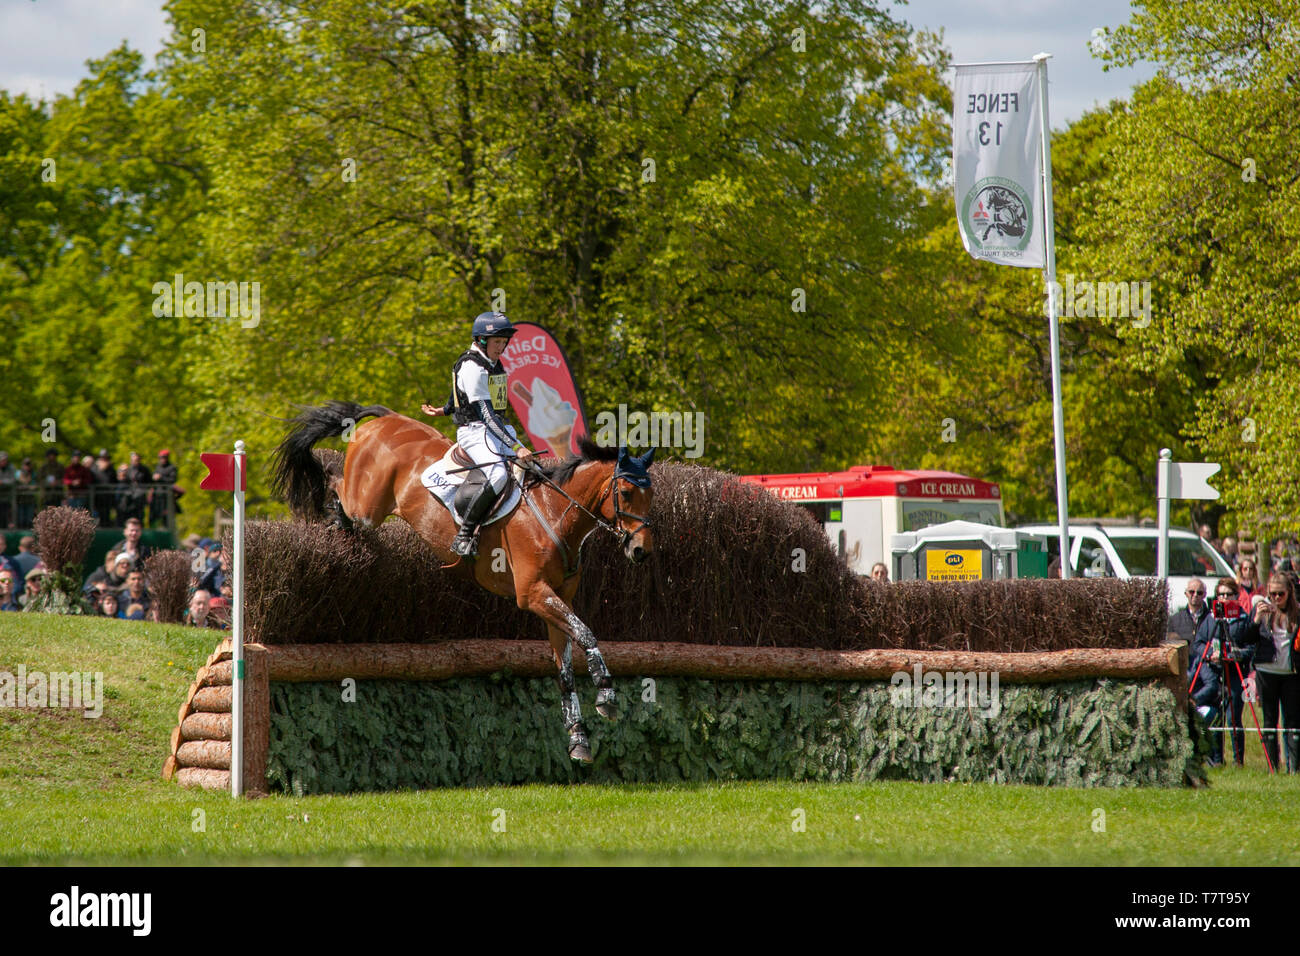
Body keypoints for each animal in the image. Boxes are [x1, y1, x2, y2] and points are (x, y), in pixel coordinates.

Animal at [275, 403, 660, 764]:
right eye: (626, 493)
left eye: (651, 495)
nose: (642, 551)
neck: (554, 514)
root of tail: (386, 418)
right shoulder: (533, 594)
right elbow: (586, 634)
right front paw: (607, 696)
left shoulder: (556, 600)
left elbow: (565, 665)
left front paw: (578, 738)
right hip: (367, 505)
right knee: (333, 480)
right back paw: (335, 519)